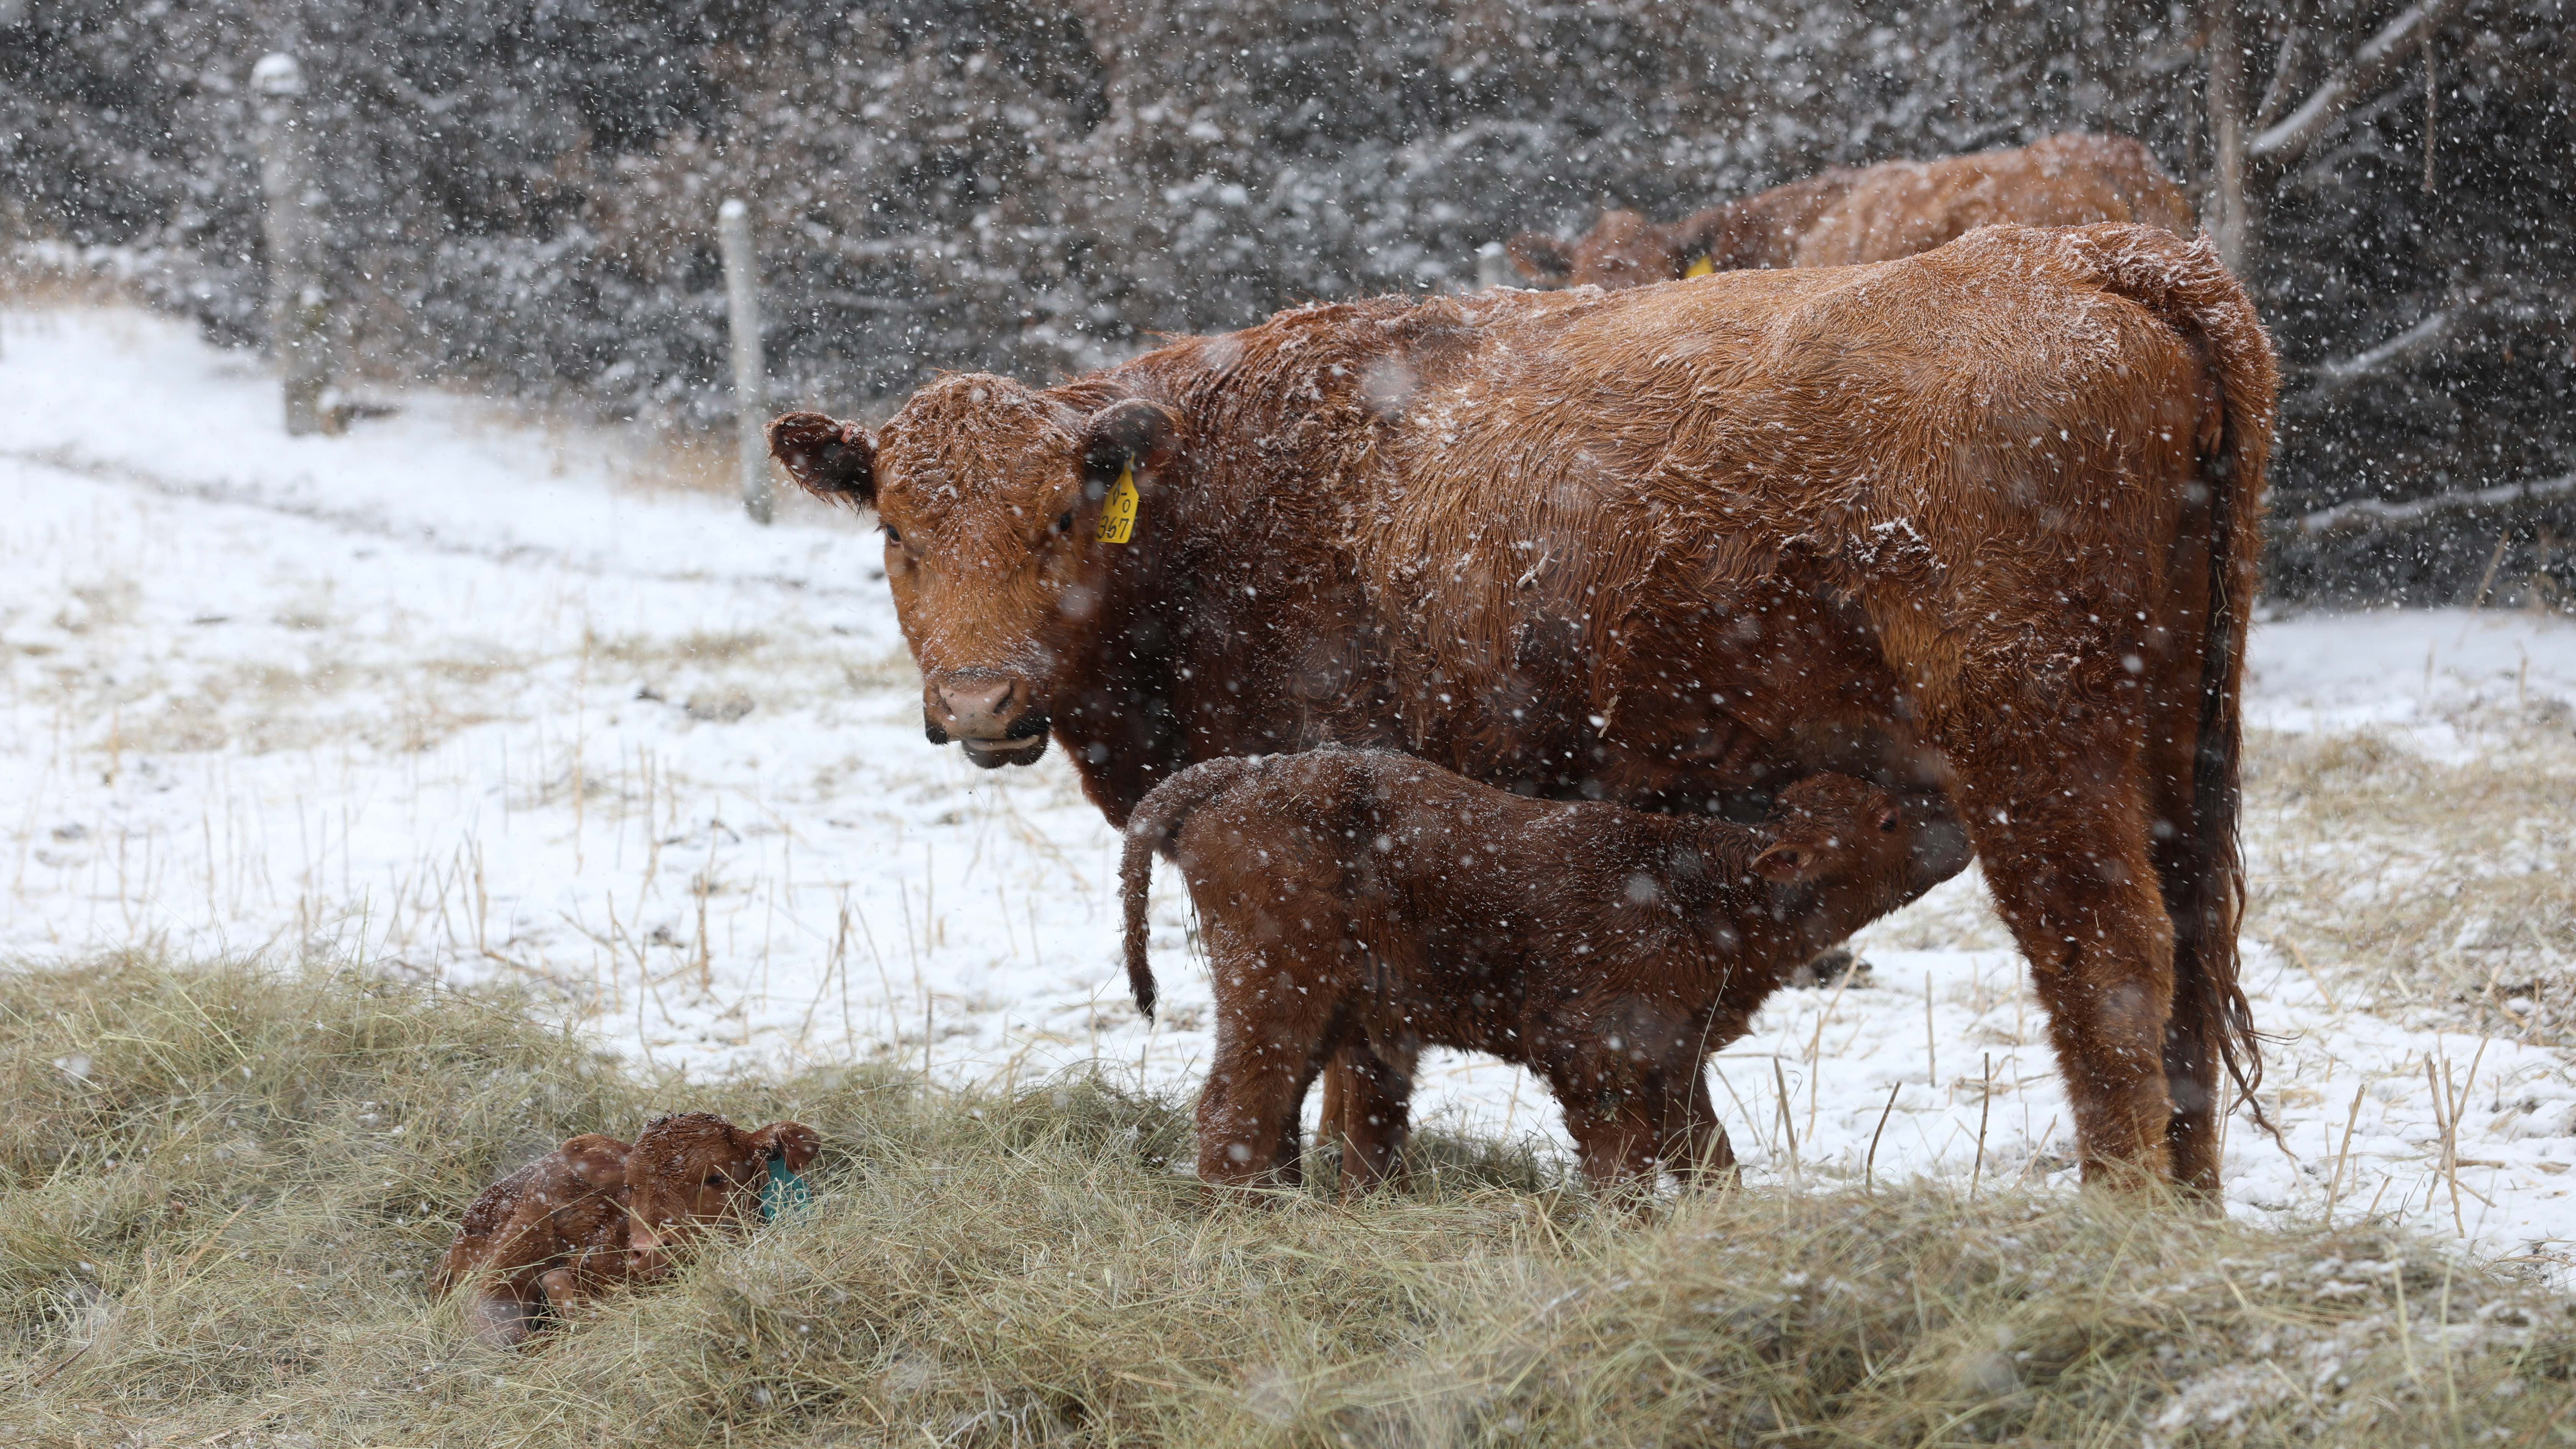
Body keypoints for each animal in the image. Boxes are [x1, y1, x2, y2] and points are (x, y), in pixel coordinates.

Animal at [1119, 752, 1971, 1193]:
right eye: (1888, 820)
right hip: (1275, 987)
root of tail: (1234, 773)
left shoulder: (1675, 1055)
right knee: (1236, 1106)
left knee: (1314, 1117)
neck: (1706, 893)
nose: (1964, 830)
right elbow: (1622, 1167)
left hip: (1337, 1013)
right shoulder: (1596, 1052)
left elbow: (1708, 1156)